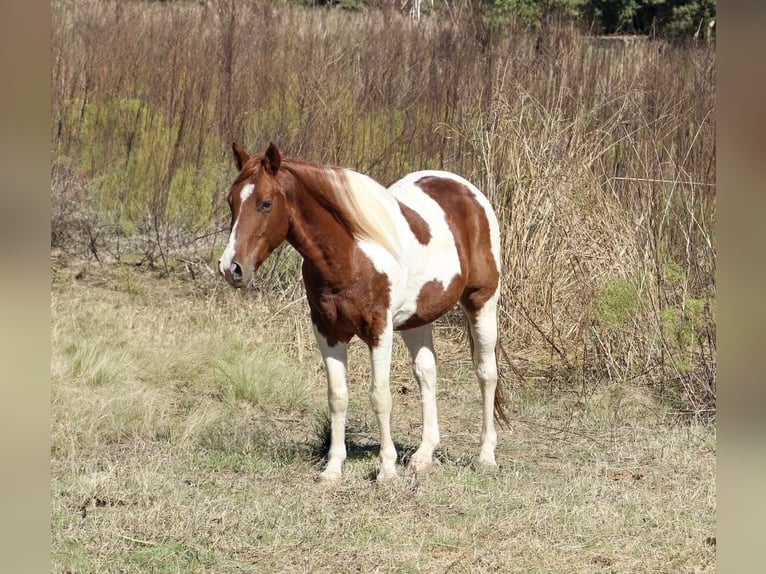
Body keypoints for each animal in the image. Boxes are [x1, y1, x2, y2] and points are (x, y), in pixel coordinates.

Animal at [219, 142, 507, 481]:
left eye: (265, 203)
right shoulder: (327, 331)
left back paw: (486, 455)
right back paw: (423, 456)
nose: (231, 268)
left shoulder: (379, 329)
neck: (350, 253)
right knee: (427, 374)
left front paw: (386, 470)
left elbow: (380, 396)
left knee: (486, 373)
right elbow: (338, 396)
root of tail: (467, 192)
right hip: (417, 319)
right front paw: (332, 469)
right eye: (231, 201)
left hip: (482, 302)